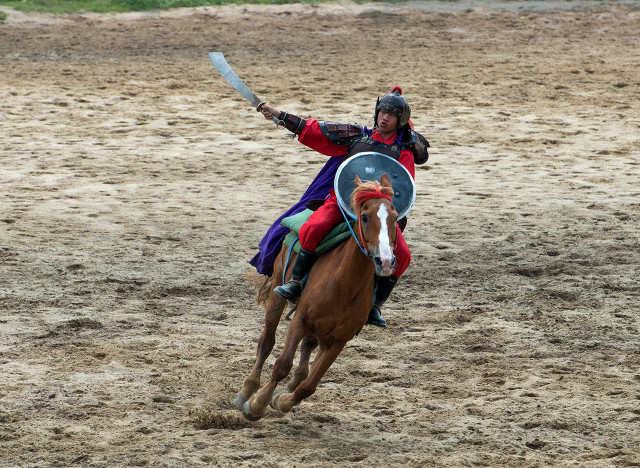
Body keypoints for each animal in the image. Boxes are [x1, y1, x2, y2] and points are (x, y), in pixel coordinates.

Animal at [232, 173, 398, 420]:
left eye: (396, 218)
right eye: (365, 216)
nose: (385, 261)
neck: (345, 287)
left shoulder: (340, 340)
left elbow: (309, 385)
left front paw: (281, 400)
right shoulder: (300, 321)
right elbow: (282, 365)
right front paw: (257, 404)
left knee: (307, 353)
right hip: (278, 290)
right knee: (267, 341)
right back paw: (247, 390)